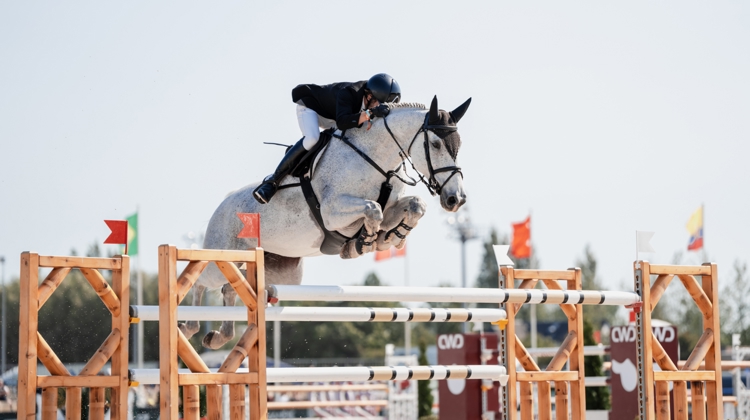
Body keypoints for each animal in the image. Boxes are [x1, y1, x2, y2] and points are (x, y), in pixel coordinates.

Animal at [183, 95, 472, 348]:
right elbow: (374, 210)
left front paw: (392, 237)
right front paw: (364, 242)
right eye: (435, 144)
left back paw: (219, 336)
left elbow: (414, 205)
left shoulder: (391, 205)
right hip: (221, 255)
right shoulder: (334, 213)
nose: (455, 199)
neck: (375, 158)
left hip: (281, 272)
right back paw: (190, 326)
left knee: (231, 288)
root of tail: (223, 204)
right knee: (200, 279)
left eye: (458, 144)